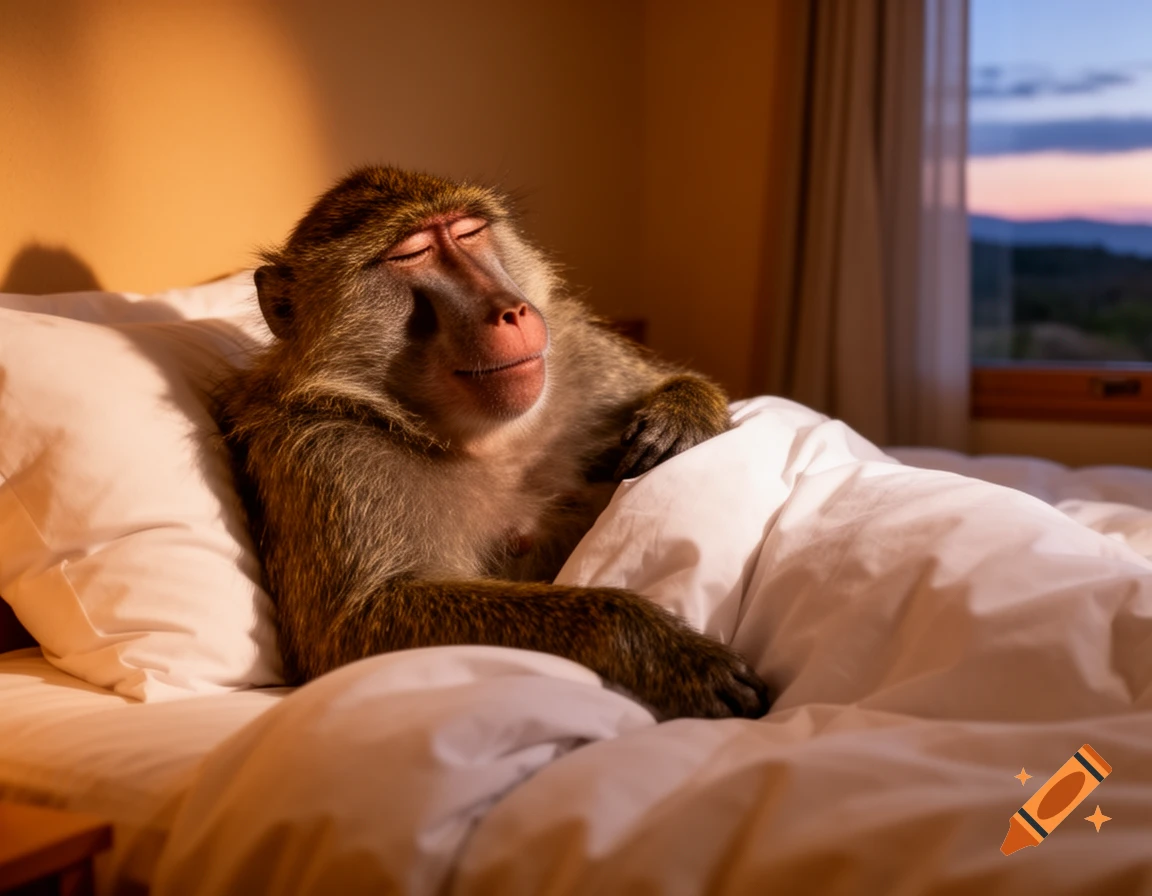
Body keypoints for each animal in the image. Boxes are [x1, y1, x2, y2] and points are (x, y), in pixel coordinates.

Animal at [215, 165, 770, 721]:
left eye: (469, 233)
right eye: (412, 254)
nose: (512, 309)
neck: (481, 439)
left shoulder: (577, 352)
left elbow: (681, 386)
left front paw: (682, 416)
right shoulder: (324, 451)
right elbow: (349, 630)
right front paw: (656, 646)